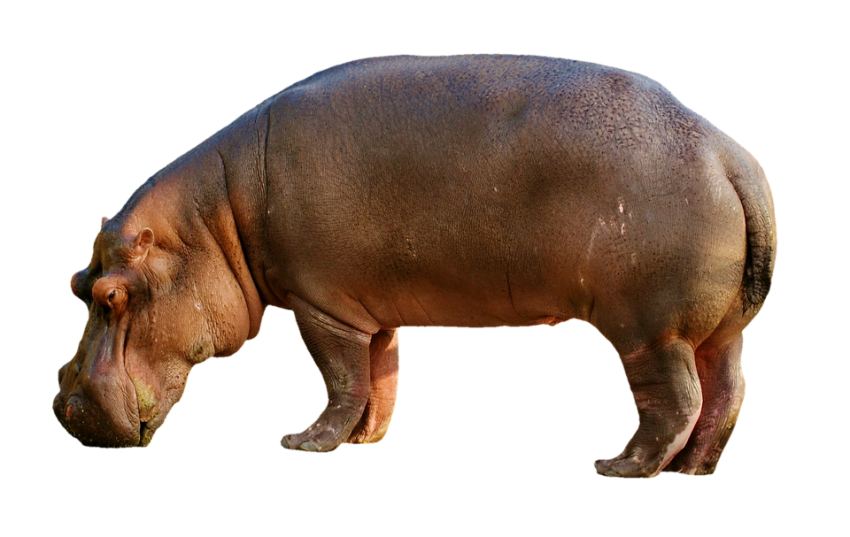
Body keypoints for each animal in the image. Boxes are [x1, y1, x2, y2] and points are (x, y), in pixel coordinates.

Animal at [54, 54, 777, 478]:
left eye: (112, 296)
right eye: (74, 283)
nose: (63, 407)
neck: (214, 219)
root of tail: (728, 152)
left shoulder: (321, 305)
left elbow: (341, 378)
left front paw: (303, 444)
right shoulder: (368, 308)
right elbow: (380, 377)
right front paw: (363, 443)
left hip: (649, 328)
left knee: (673, 401)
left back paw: (620, 467)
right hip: (720, 329)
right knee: (727, 393)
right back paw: (694, 472)